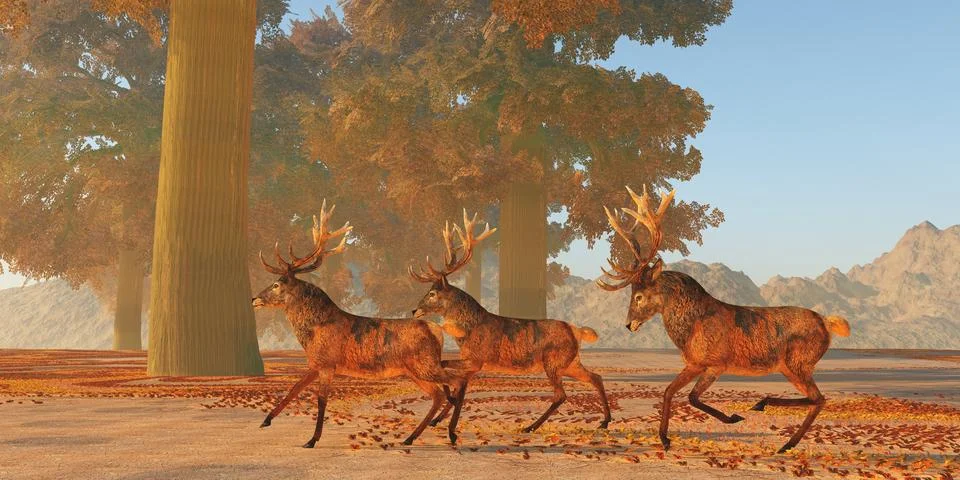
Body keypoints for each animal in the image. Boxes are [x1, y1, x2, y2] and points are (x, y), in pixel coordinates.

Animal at [252, 200, 461, 448]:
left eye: (276, 284)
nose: (254, 299)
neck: (313, 332)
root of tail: (436, 330)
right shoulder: (316, 363)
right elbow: (294, 388)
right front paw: (266, 420)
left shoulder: (327, 363)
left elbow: (321, 400)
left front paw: (312, 439)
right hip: (415, 369)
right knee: (439, 394)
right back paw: (411, 437)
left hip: (424, 364)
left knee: (455, 382)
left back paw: (449, 433)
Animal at [410, 210, 612, 444]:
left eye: (432, 293)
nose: (414, 310)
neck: (466, 332)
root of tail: (576, 330)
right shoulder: (472, 364)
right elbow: (460, 386)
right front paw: (439, 419)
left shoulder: (476, 359)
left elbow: (447, 370)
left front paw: (448, 422)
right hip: (570, 362)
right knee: (596, 377)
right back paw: (605, 421)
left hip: (553, 361)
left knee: (561, 394)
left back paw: (530, 427)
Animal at [598, 186, 851, 454]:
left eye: (638, 296)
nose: (629, 325)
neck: (690, 329)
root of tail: (828, 323)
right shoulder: (694, 363)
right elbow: (668, 391)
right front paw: (665, 439)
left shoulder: (716, 363)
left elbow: (692, 397)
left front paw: (733, 417)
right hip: (794, 366)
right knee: (817, 399)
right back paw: (783, 437)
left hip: (798, 362)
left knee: (818, 398)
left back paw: (767, 414)